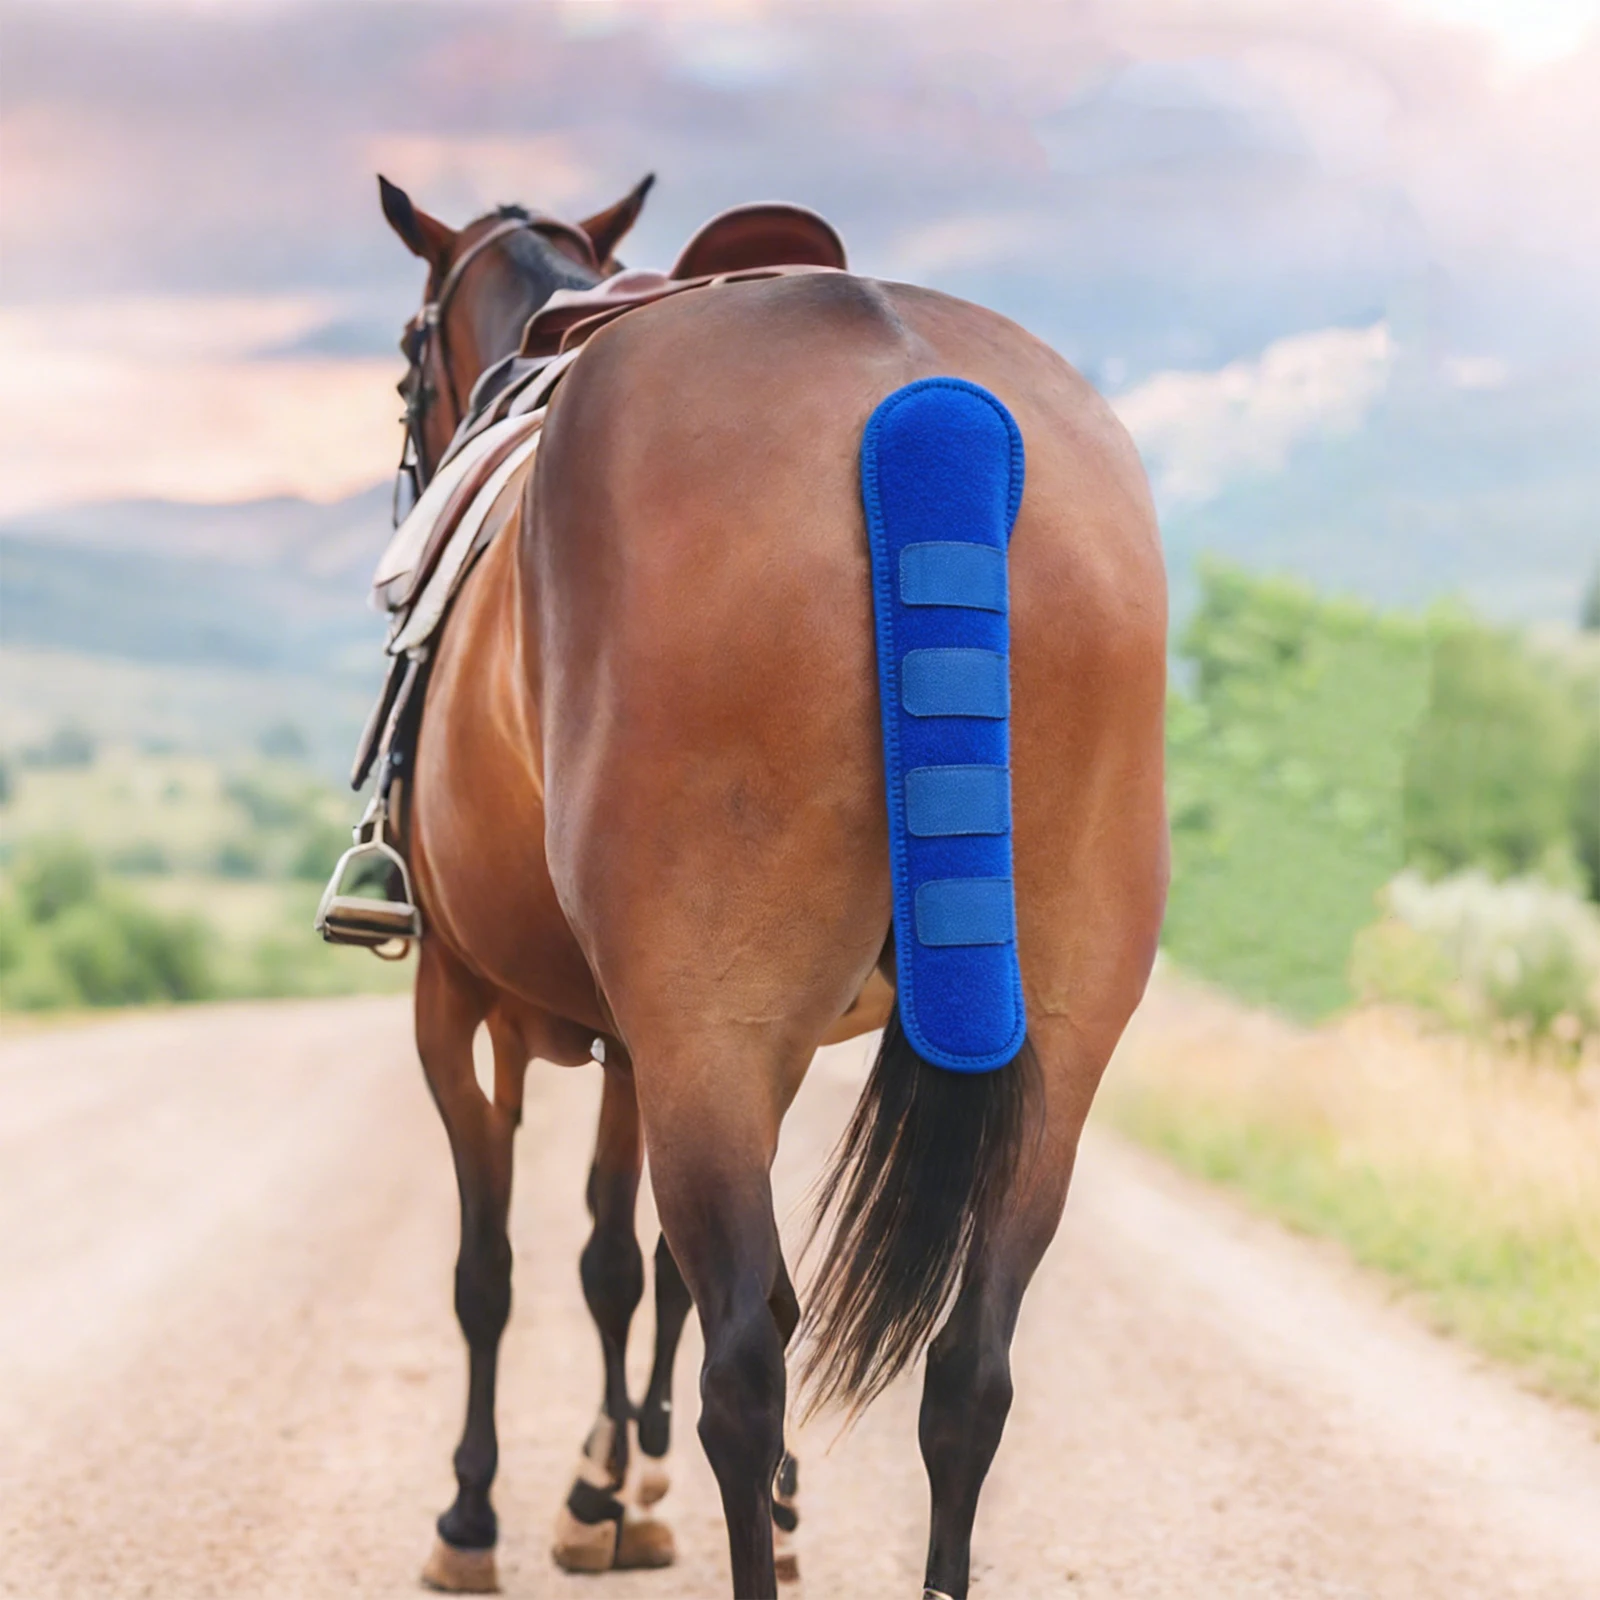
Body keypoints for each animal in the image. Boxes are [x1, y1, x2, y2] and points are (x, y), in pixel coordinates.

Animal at [375, 173, 1168, 1600]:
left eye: (411, 356)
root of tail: (923, 402)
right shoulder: (653, 1040)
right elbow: (618, 1260)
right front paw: (612, 1481)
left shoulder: (465, 1003)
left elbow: (500, 1269)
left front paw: (484, 1510)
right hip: (1052, 1037)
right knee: (968, 1365)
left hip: (707, 1022)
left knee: (746, 1358)